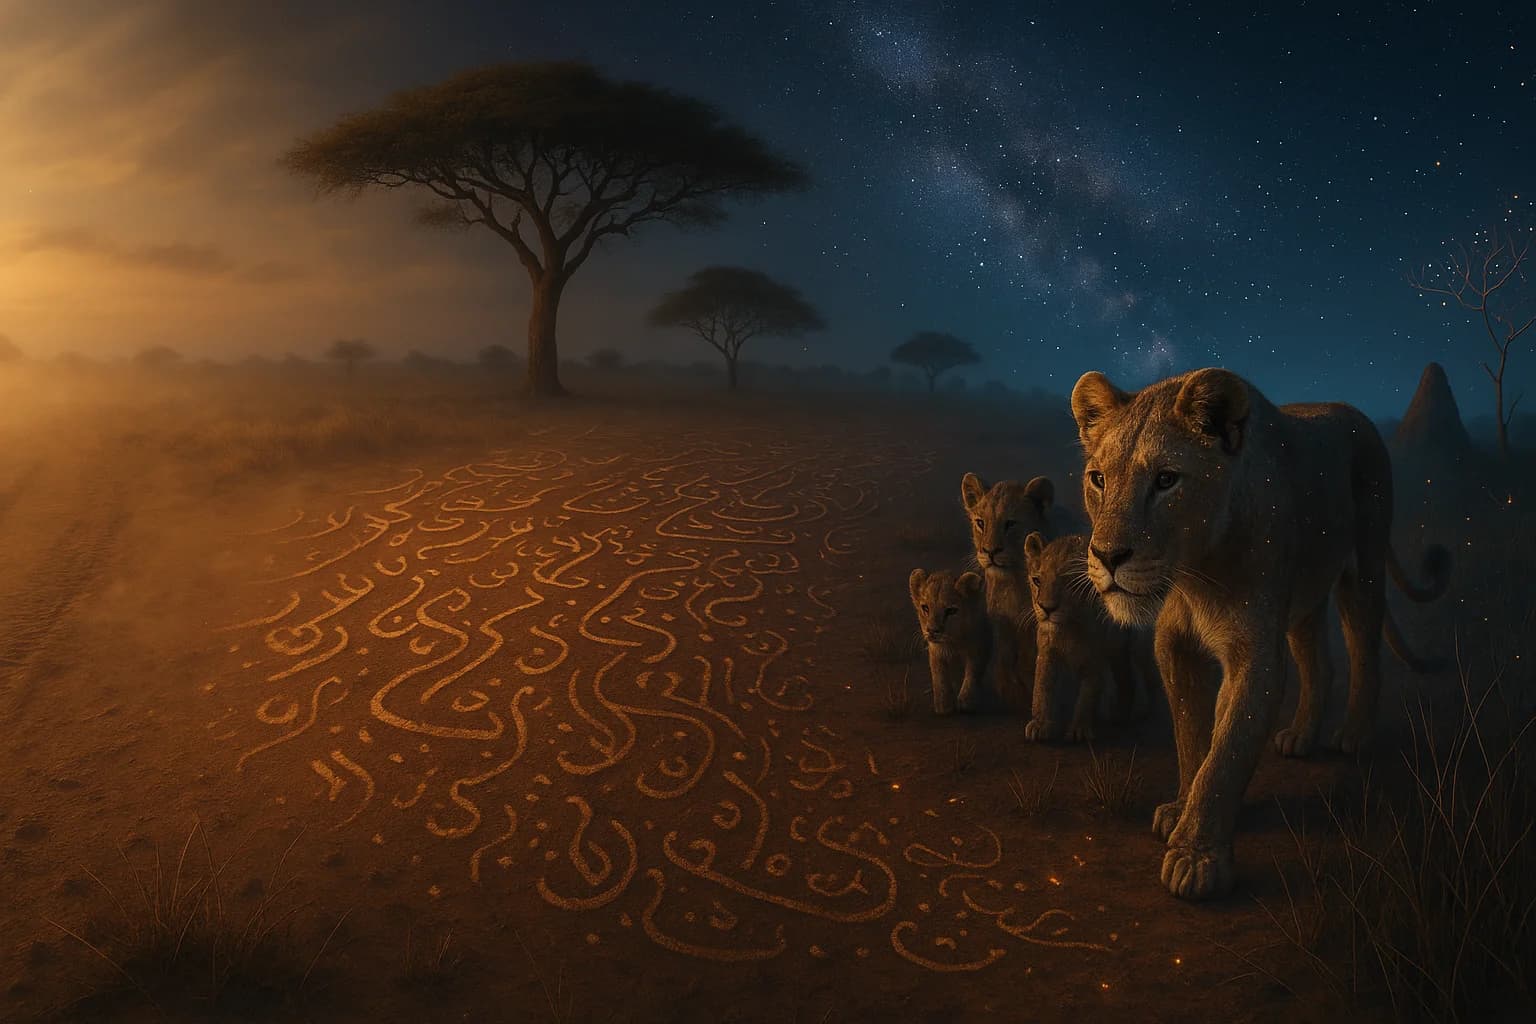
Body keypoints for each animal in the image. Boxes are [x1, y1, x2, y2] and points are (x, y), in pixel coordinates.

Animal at [908, 568, 992, 715]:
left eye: (951, 611)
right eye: (925, 608)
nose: (932, 630)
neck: (953, 642)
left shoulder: (980, 645)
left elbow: (973, 673)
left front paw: (966, 702)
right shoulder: (935, 651)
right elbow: (939, 677)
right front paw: (944, 706)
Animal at [959, 472, 1056, 711]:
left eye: (1010, 524)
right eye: (981, 523)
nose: (990, 551)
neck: (1015, 582)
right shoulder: (1002, 623)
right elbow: (1004, 659)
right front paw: (1010, 692)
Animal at [1021, 532, 1154, 742]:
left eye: (1069, 583)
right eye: (1037, 581)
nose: (1046, 609)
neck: (1069, 627)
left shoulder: (1095, 660)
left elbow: (1088, 695)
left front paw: (1079, 729)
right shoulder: (1047, 653)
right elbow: (1041, 688)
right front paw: (1040, 724)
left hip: (1121, 648)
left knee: (1129, 678)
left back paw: (1124, 716)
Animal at [1071, 367, 1449, 901]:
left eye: (1166, 480)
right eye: (1099, 479)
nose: (1107, 556)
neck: (1197, 575)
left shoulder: (1255, 655)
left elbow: (1226, 753)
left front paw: (1197, 859)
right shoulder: (1174, 645)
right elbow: (1192, 736)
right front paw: (1181, 808)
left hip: (1364, 566)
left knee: (1364, 651)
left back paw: (1353, 734)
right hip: (1304, 598)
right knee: (1319, 662)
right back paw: (1301, 735)